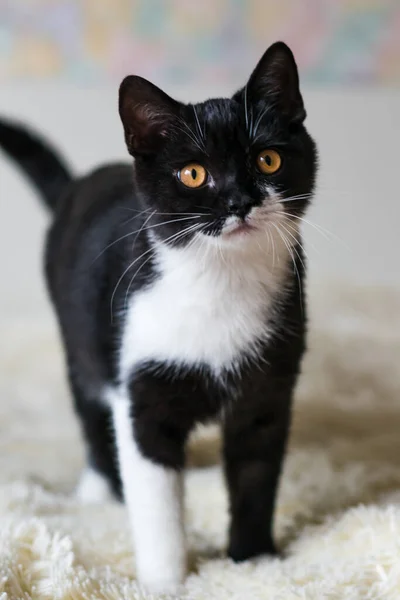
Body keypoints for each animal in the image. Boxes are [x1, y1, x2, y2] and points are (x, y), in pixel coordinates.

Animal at [1, 42, 318, 596]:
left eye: (268, 159)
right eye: (193, 174)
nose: (239, 201)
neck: (221, 283)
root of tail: (77, 185)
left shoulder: (268, 392)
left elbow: (256, 478)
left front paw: (254, 565)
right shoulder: (142, 390)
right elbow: (157, 500)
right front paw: (166, 581)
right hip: (80, 337)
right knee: (89, 405)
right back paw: (99, 490)